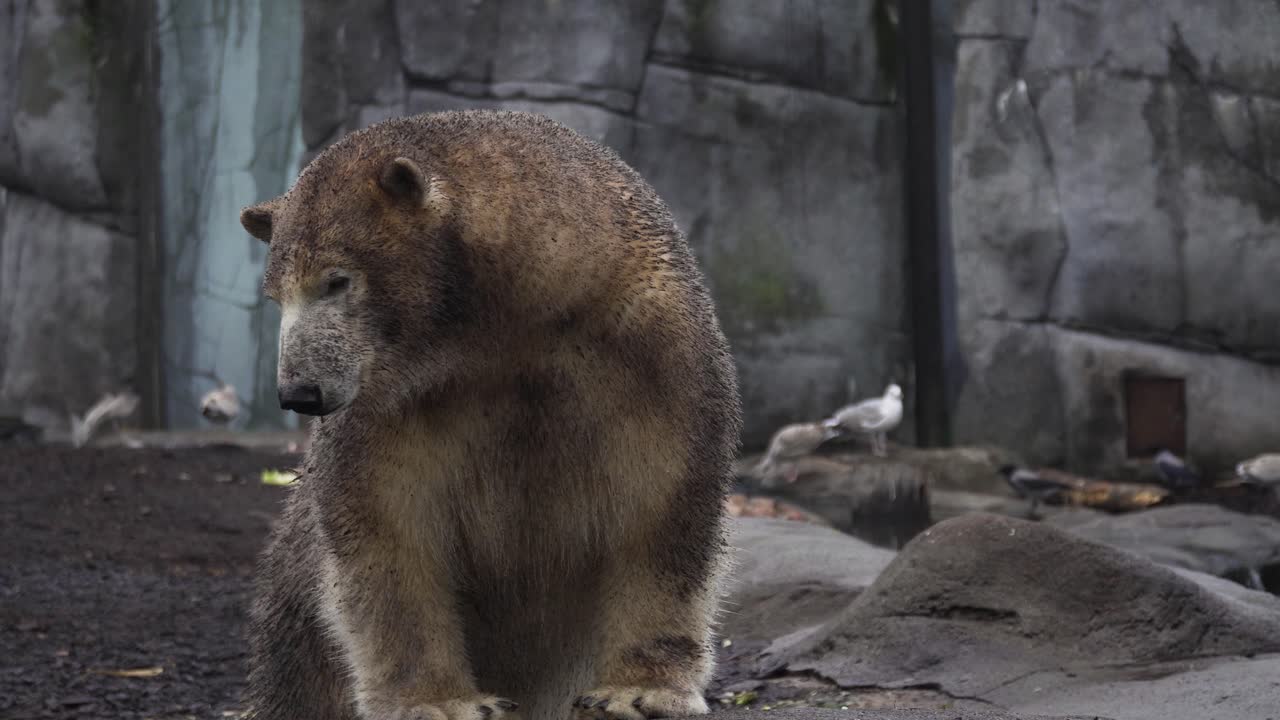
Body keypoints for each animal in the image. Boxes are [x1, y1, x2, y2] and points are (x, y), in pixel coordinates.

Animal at [238, 110, 742, 720]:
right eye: (276, 296)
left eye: (336, 280)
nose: (300, 393)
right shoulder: (395, 405)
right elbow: (385, 529)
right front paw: (439, 702)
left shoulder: (646, 356)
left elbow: (661, 503)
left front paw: (638, 691)